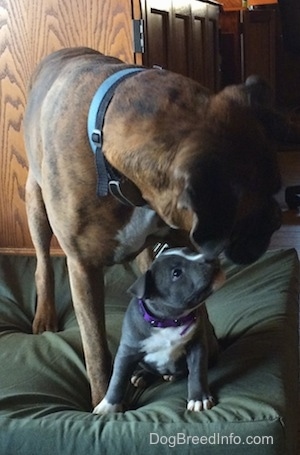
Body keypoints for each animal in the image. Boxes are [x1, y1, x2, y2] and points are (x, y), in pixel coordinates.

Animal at [94, 248, 223, 416]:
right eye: (176, 273)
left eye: (191, 251)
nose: (211, 257)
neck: (167, 322)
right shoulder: (127, 352)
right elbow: (117, 378)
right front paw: (108, 406)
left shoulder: (197, 345)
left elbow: (197, 372)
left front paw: (198, 398)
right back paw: (142, 375)